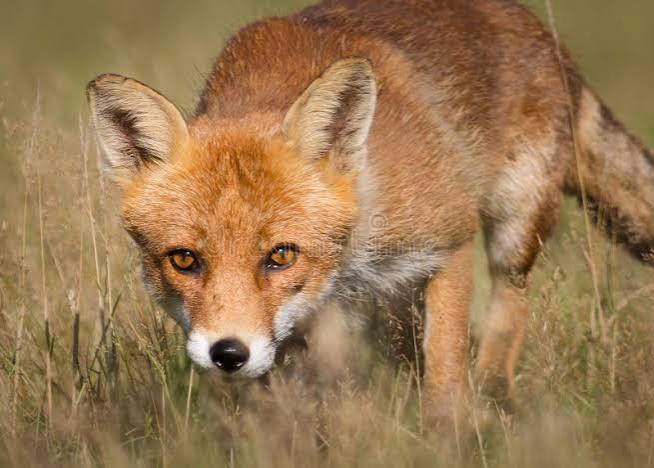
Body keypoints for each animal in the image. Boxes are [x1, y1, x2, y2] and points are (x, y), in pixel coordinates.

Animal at [87, 0, 654, 413]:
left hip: (514, 231)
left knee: (508, 310)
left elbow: (446, 366)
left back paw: (496, 395)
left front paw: (449, 437)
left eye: (281, 256)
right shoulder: (307, 327)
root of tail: (542, 32)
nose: (229, 353)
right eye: (184, 259)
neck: (350, 260)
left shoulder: (450, 240)